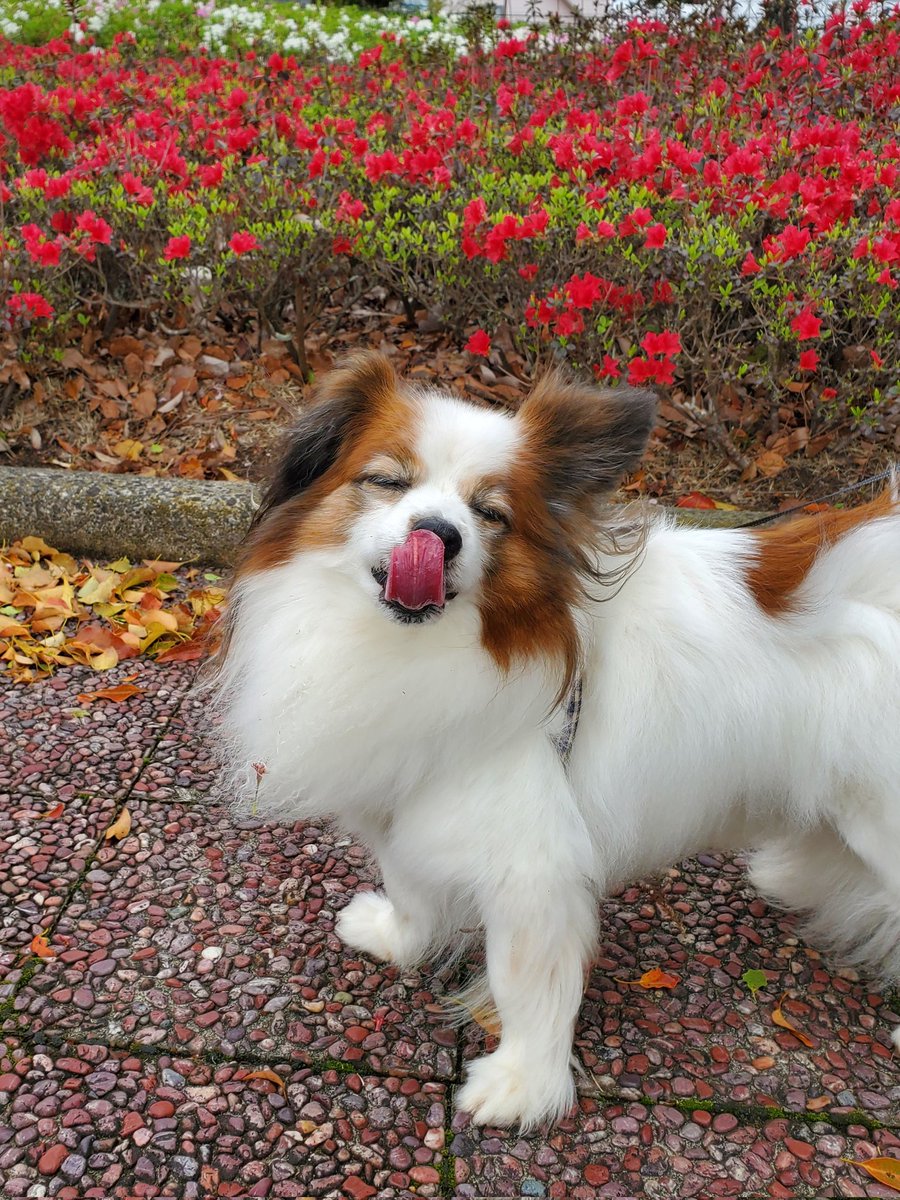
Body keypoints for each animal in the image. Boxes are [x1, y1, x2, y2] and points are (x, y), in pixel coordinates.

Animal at [210, 350, 900, 1128]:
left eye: (490, 514)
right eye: (386, 481)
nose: (437, 534)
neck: (418, 653)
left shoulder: (533, 867)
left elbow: (527, 988)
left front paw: (521, 1087)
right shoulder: (413, 806)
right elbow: (411, 888)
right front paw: (397, 939)